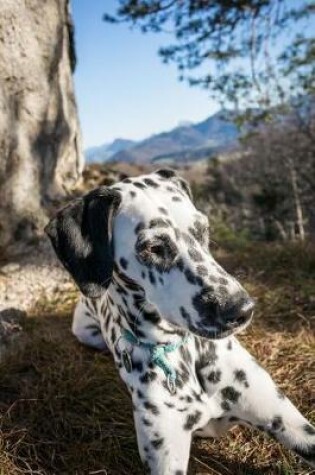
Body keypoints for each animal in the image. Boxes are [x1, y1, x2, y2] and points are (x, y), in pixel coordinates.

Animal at [45, 169, 314, 474]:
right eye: (154, 247)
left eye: (203, 229)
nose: (241, 309)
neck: (183, 354)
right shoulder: (166, 457)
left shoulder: (290, 423)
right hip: (85, 331)